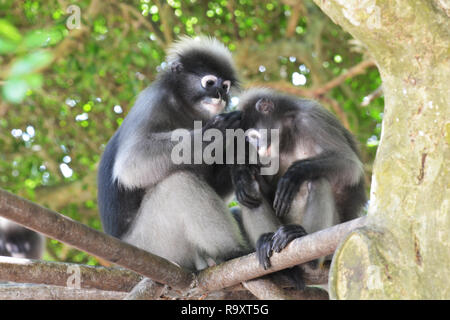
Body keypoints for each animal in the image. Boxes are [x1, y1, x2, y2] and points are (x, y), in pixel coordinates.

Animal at [230, 88, 368, 290]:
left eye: (253, 136)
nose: (256, 147)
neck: (286, 134)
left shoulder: (311, 119)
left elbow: (350, 165)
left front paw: (294, 174)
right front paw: (241, 175)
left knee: (317, 179)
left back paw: (302, 244)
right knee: (251, 193)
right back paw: (270, 246)